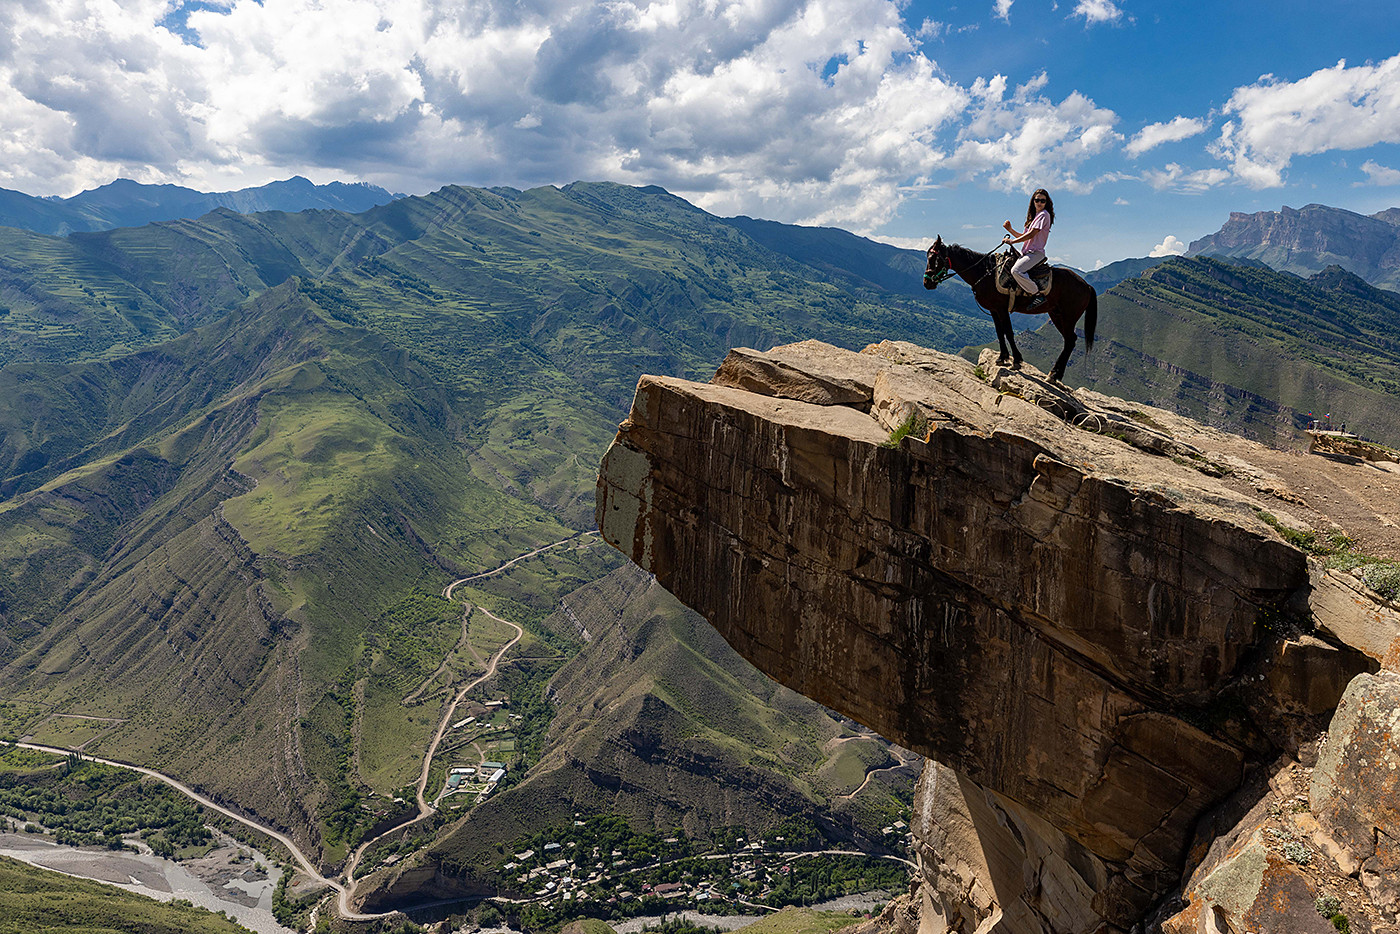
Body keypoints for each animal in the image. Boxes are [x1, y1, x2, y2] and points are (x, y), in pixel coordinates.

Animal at [924, 238, 1097, 383]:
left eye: (934, 259)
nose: (927, 283)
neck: (985, 273)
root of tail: (1086, 285)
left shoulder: (1002, 309)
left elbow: (1008, 332)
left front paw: (1016, 360)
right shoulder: (994, 310)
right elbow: (1000, 332)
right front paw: (1002, 358)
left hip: (1068, 317)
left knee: (1070, 340)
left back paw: (1054, 375)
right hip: (1056, 315)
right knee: (1069, 341)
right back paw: (1055, 374)